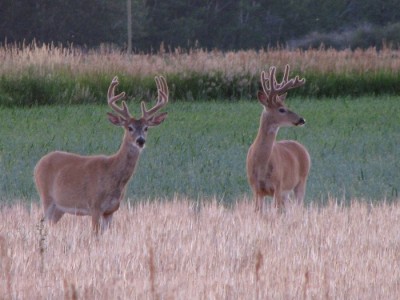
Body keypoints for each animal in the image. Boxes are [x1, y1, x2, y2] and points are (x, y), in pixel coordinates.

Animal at [32, 75, 167, 234]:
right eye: (129, 128)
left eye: (146, 128)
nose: (140, 141)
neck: (113, 175)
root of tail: (38, 164)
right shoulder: (94, 205)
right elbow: (95, 234)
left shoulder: (111, 210)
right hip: (46, 197)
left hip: (60, 208)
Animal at [245, 64, 310, 212]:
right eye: (281, 109)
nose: (302, 119)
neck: (261, 165)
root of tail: (302, 148)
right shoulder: (255, 188)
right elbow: (258, 212)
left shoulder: (278, 185)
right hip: (286, 192)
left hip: (301, 180)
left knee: (299, 206)